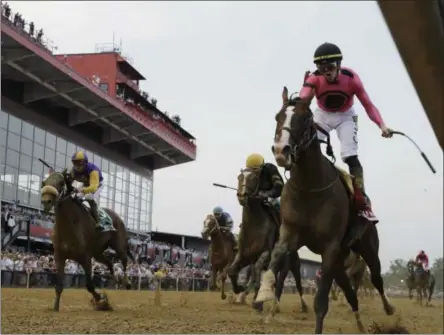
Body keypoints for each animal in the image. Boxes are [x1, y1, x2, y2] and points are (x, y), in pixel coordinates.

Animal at [40, 171, 134, 312]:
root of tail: (117, 217)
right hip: (97, 252)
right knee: (110, 262)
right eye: (45, 182)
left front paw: (101, 300)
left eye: (61, 183)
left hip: (119, 245)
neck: (70, 225)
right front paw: (55, 307)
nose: (46, 201)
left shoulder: (85, 258)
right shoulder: (59, 256)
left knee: (124, 260)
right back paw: (116, 278)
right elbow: (59, 285)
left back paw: (126, 282)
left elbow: (90, 285)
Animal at [227, 168, 306, 316]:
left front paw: (257, 303)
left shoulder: (266, 254)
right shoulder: (244, 256)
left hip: (291, 267)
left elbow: (258, 271)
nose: (241, 195)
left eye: (253, 178)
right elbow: (232, 270)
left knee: (292, 285)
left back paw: (300, 306)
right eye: (239, 177)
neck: (255, 226)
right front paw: (239, 289)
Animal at [256, 88, 396, 334]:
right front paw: (264, 293)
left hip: (367, 248)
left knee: (377, 278)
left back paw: (388, 309)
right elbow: (277, 256)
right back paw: (360, 324)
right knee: (350, 292)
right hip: (341, 261)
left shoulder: (330, 247)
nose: (281, 150)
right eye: (277, 116)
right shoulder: (290, 234)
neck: (310, 187)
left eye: (305, 119)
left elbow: (321, 302)